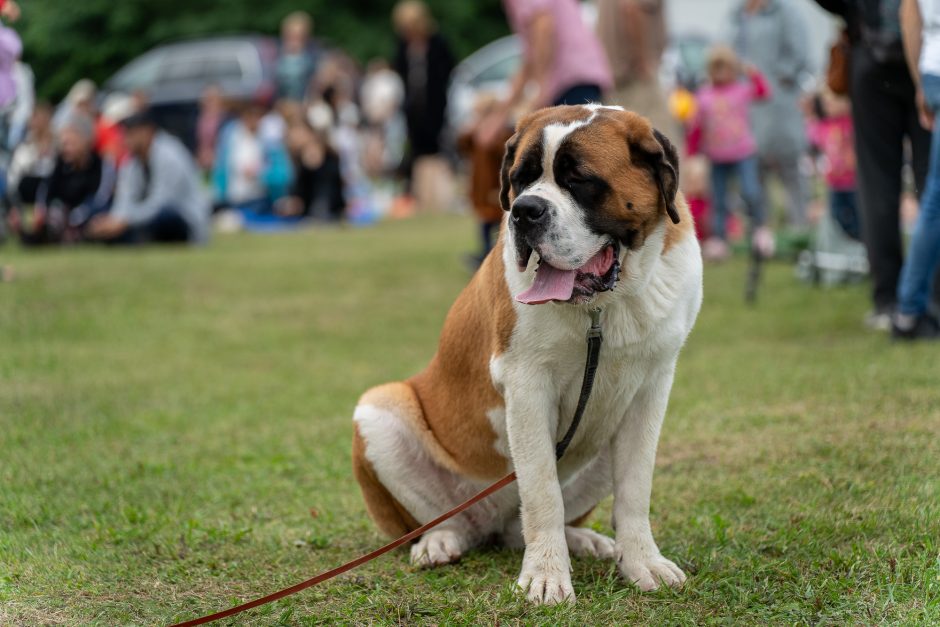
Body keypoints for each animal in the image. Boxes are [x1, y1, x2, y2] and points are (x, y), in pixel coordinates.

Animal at [354, 105, 704, 604]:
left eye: (581, 180)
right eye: (520, 179)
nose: (524, 210)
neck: (601, 310)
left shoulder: (651, 388)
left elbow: (635, 488)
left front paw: (642, 563)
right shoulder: (527, 386)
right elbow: (542, 490)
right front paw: (545, 577)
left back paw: (585, 540)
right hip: (378, 408)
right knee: (449, 522)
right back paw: (439, 542)